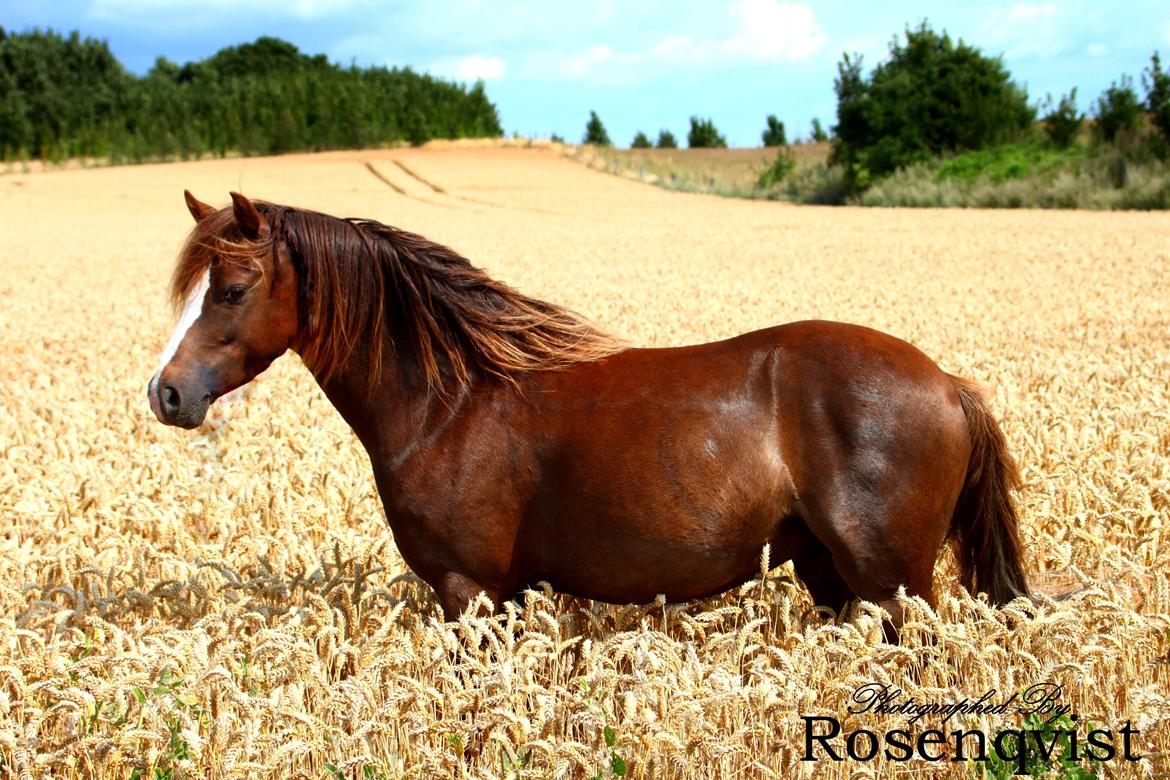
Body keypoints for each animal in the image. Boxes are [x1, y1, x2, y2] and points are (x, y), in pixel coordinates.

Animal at [148, 191, 1030, 636]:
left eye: (231, 289)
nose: (167, 393)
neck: (450, 403)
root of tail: (946, 382)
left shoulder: (468, 591)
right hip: (833, 575)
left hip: (895, 585)